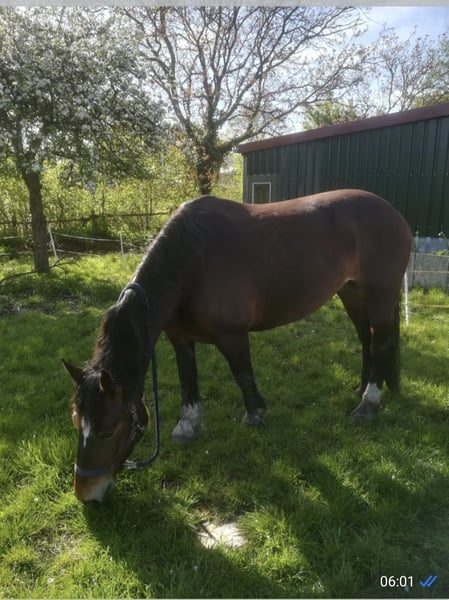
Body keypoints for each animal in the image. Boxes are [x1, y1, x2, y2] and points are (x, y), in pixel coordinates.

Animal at [63, 189, 412, 502]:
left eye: (108, 430)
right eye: (77, 421)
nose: (86, 494)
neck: (194, 259)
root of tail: (394, 214)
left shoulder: (232, 336)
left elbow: (243, 375)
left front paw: (255, 415)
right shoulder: (180, 339)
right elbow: (188, 381)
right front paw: (187, 427)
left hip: (379, 295)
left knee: (380, 343)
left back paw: (368, 404)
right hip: (351, 292)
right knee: (366, 340)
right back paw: (362, 388)